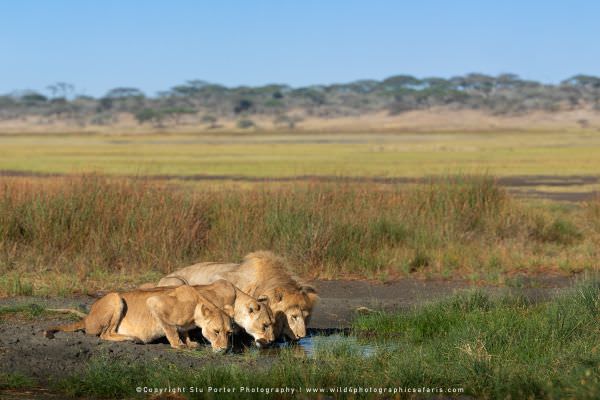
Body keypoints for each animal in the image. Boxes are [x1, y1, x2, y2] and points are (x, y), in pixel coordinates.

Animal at [43, 282, 232, 352]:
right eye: (216, 331)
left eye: (229, 333)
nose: (224, 349)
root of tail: (87, 317)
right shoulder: (155, 302)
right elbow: (171, 330)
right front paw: (179, 345)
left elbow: (182, 331)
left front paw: (189, 341)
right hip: (115, 298)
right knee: (105, 334)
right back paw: (132, 338)